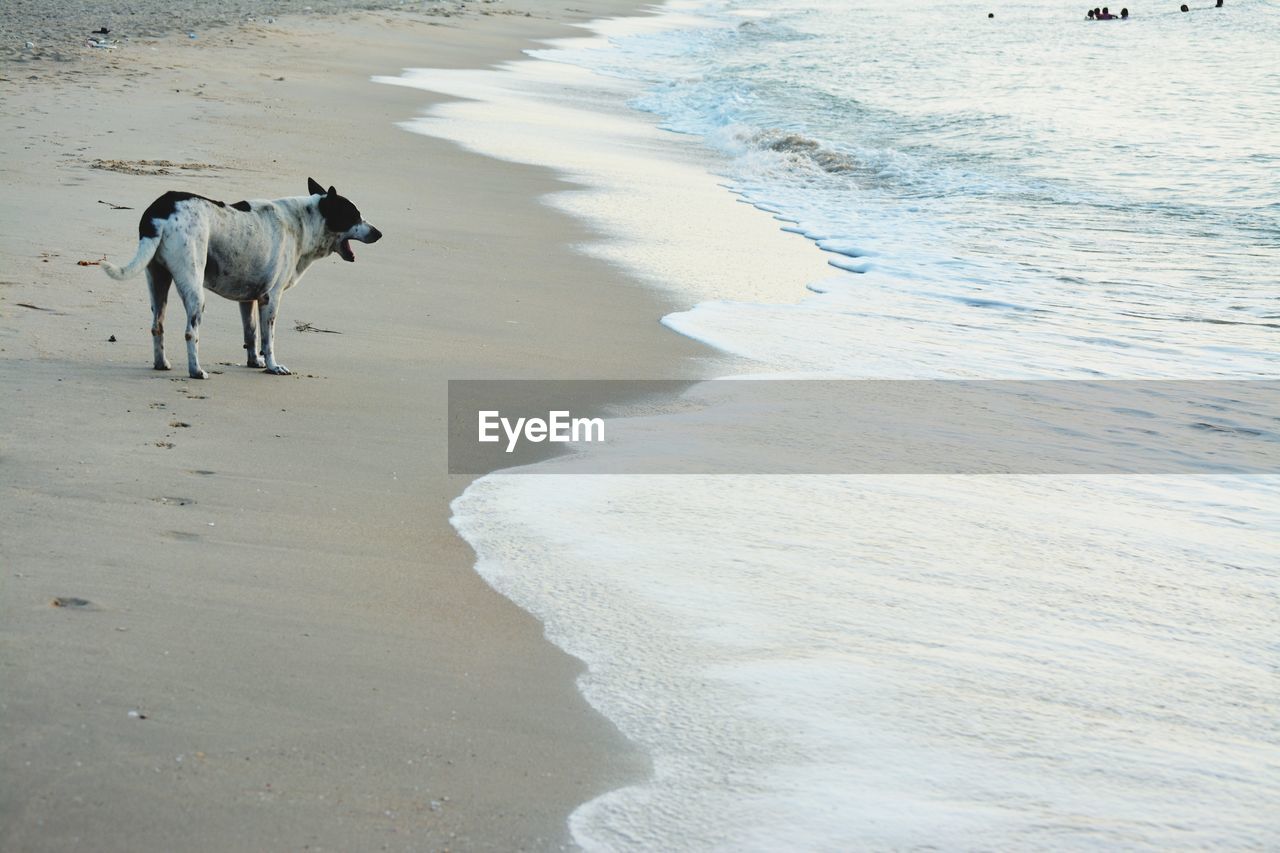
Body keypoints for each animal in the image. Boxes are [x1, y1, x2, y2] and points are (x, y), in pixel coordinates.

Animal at [102, 178, 381, 376]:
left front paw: (254, 361)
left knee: (157, 325)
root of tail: (162, 206)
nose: (379, 233)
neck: (305, 222)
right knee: (191, 332)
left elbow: (251, 333)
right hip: (194, 290)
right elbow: (268, 339)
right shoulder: (271, 298)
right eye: (355, 215)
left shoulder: (248, 300)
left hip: (158, 282)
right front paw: (272, 366)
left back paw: (161, 364)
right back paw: (196, 371)